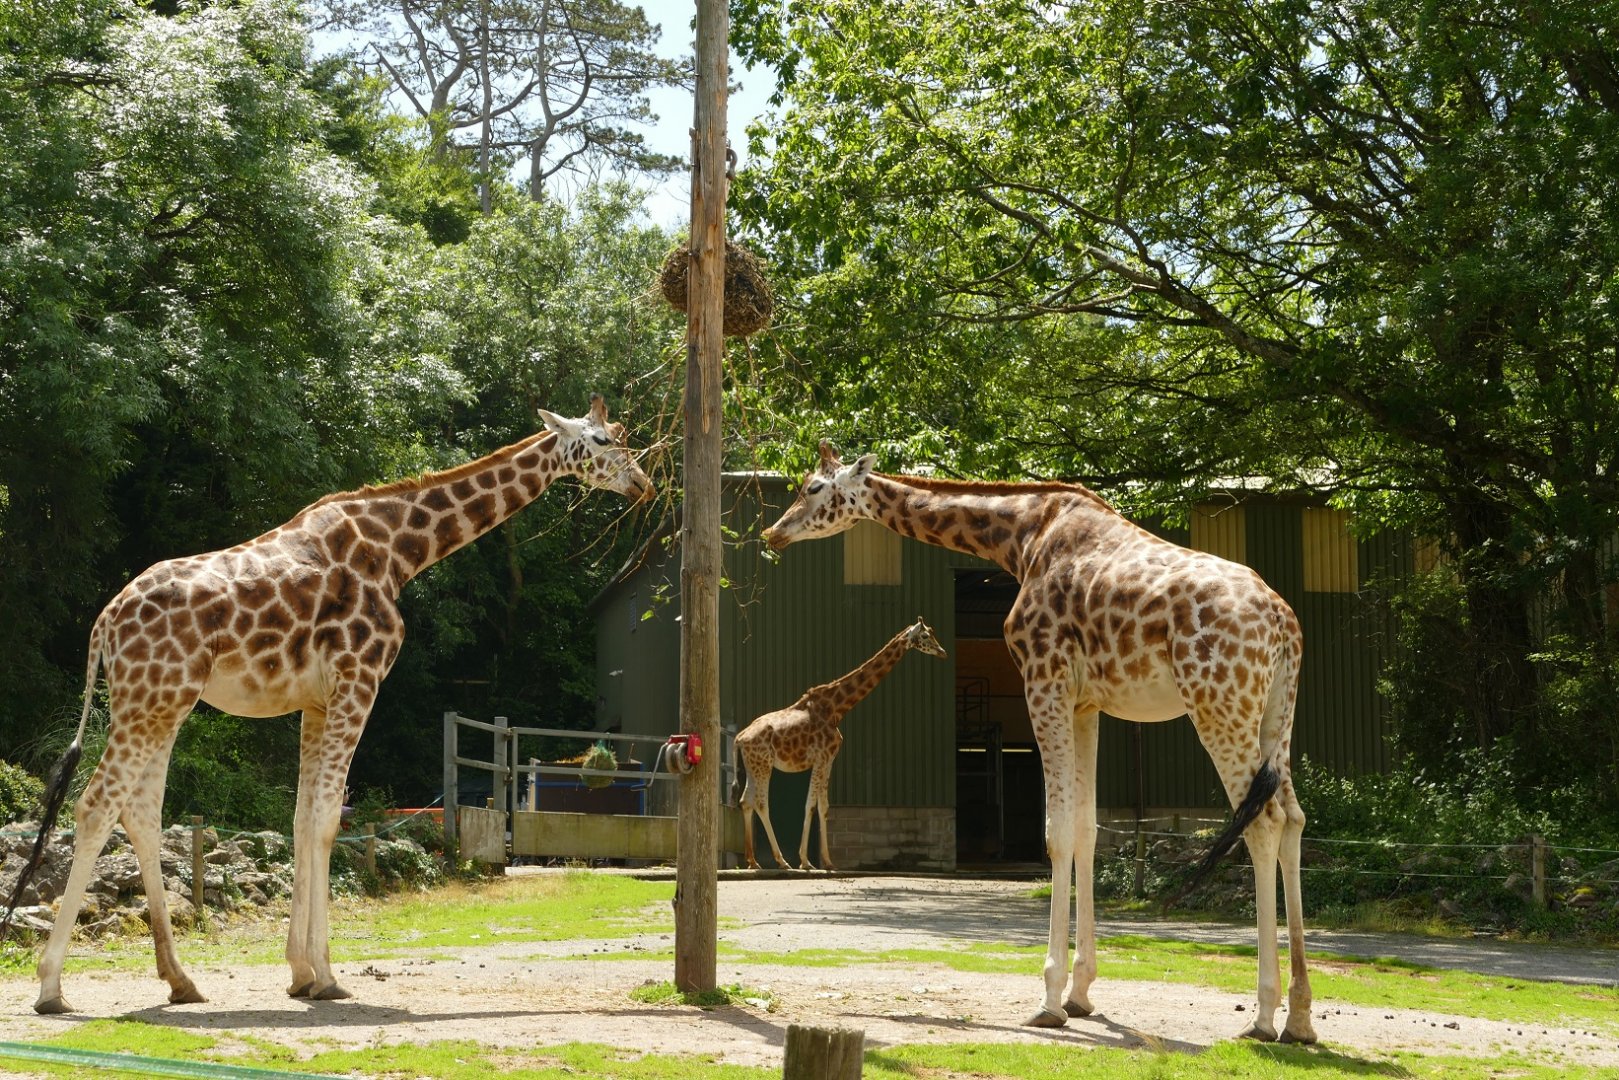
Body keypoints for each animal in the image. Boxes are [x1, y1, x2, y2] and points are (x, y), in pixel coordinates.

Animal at [3, 395, 653, 1015]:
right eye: (602, 440)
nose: (643, 483)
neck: (399, 551)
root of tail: (105, 621)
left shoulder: (315, 702)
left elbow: (300, 818)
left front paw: (299, 973)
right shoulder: (359, 680)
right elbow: (326, 819)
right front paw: (326, 975)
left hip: (158, 702)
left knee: (139, 811)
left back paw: (180, 981)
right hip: (154, 698)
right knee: (96, 806)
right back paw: (51, 987)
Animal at [734, 616, 947, 871]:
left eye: (933, 633)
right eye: (925, 636)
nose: (943, 652)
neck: (837, 709)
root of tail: (739, 738)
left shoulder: (829, 760)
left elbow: (824, 807)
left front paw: (827, 861)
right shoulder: (822, 757)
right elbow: (811, 805)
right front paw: (806, 861)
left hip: (753, 765)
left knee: (746, 800)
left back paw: (753, 861)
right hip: (764, 765)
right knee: (761, 802)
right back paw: (781, 861)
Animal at [761, 443, 1315, 1044]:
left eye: (814, 488)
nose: (773, 532)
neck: (1021, 538)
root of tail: (1285, 625)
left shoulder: (1042, 679)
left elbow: (1056, 832)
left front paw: (1048, 1000)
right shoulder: (1087, 703)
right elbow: (1089, 830)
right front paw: (1081, 993)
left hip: (1218, 705)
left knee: (1261, 822)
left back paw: (1263, 1016)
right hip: (1276, 713)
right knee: (1293, 819)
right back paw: (1301, 1018)